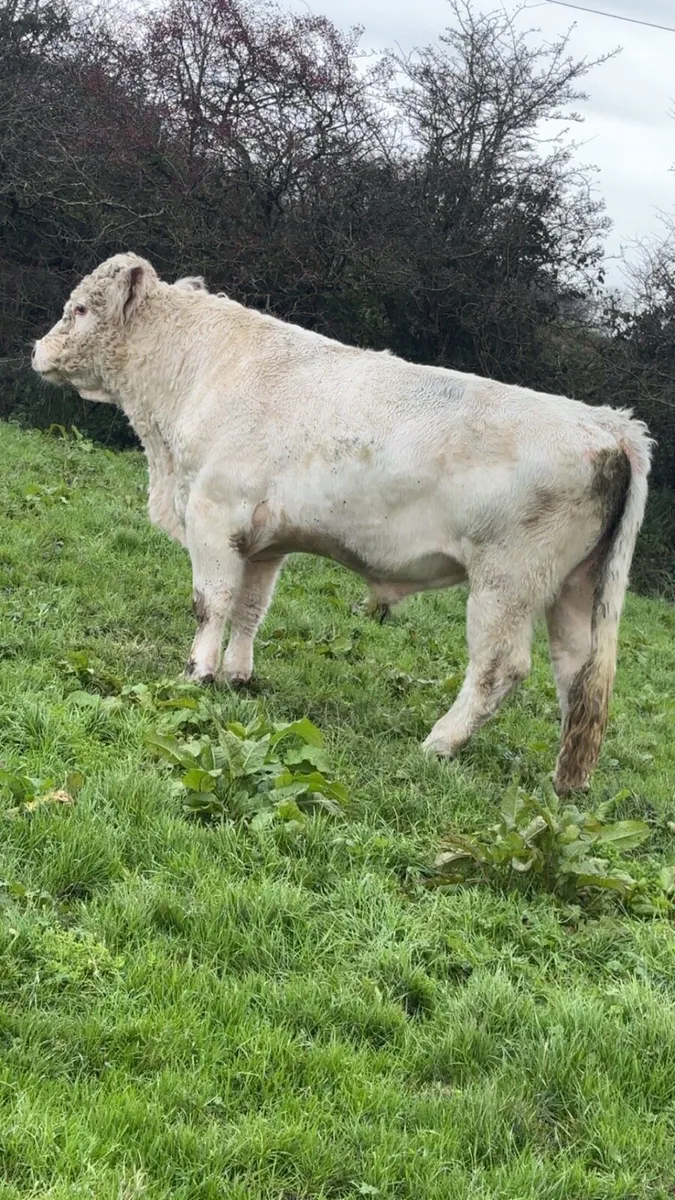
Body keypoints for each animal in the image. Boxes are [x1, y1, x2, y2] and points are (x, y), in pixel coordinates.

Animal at [32, 253, 652, 794]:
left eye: (80, 308)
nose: (37, 348)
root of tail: (606, 423)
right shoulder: (264, 541)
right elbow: (251, 608)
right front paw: (237, 676)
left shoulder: (214, 514)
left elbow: (212, 603)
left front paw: (197, 674)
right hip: (574, 588)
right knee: (577, 675)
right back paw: (565, 780)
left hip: (509, 581)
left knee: (501, 668)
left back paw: (440, 744)